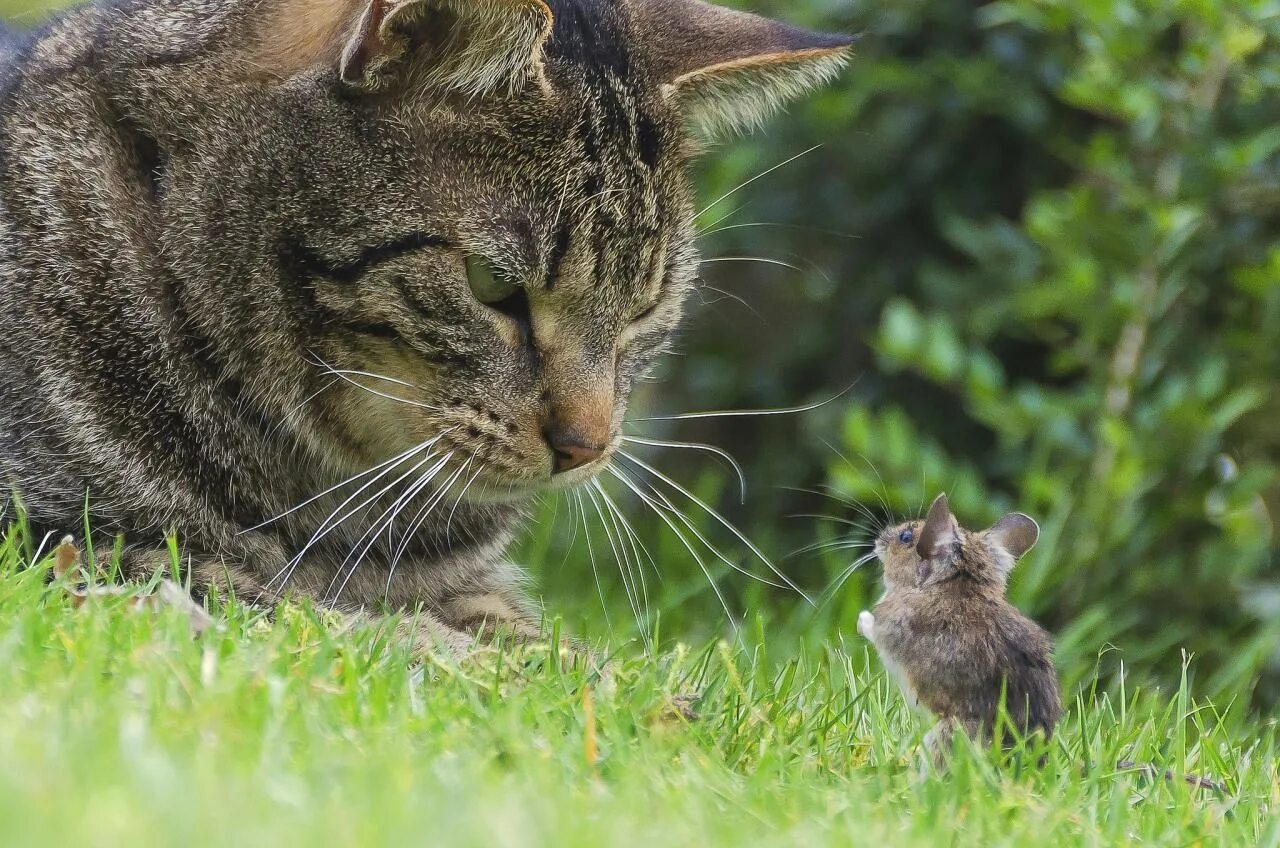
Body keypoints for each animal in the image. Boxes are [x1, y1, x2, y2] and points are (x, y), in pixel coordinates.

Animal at [0, 0, 849, 653]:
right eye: (493, 286)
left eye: (645, 306)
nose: (587, 446)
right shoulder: (64, 541)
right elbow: (294, 609)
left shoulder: (469, 588)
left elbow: (553, 648)